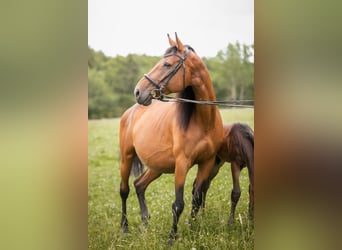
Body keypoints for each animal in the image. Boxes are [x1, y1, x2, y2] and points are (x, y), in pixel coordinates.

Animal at [119, 33, 223, 240]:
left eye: (167, 64)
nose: (138, 91)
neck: (204, 122)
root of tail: (130, 112)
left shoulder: (206, 163)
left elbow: (196, 198)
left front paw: (193, 229)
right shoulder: (182, 164)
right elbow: (178, 204)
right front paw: (172, 238)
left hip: (157, 166)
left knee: (139, 185)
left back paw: (145, 223)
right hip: (127, 158)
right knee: (124, 190)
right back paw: (125, 228)